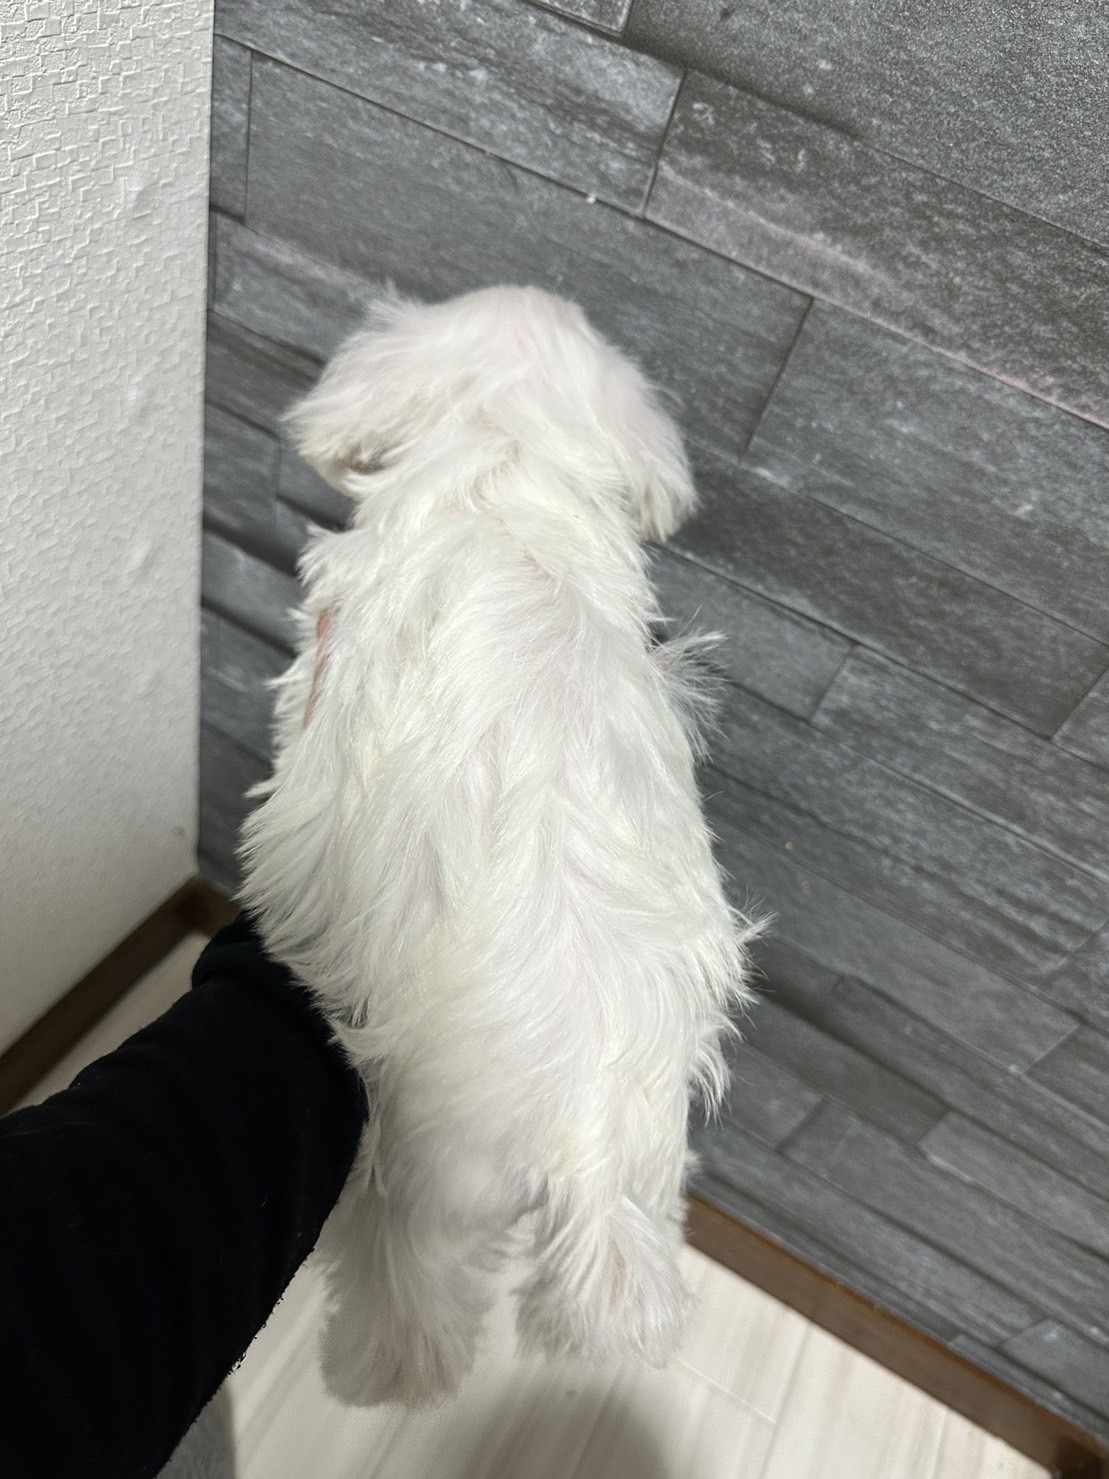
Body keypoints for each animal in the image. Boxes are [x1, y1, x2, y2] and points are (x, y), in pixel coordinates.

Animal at [239, 285, 760, 1407]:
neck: (508, 458)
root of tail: (586, 1124)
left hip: (421, 1186)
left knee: (414, 1307)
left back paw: (370, 1368)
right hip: (654, 1173)